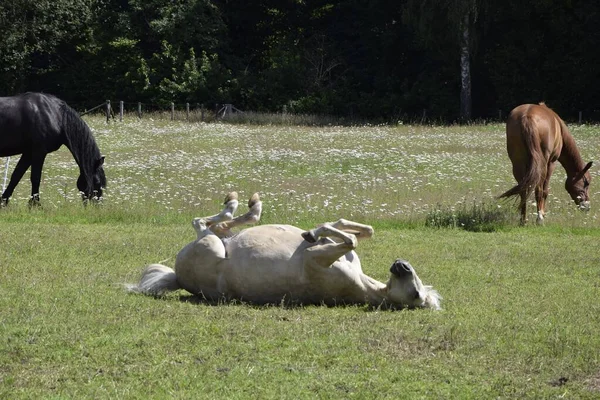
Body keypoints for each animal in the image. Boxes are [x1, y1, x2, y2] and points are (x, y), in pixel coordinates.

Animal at [126, 192, 442, 310]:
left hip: (211, 246)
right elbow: (360, 232)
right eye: (417, 286)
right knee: (222, 225)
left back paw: (239, 204)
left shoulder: (315, 259)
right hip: (219, 240)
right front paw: (320, 230)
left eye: (417, 294)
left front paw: (313, 232)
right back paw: (244, 205)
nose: (401, 265)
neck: (363, 285)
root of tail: (178, 277)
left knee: (203, 223)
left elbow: (346, 239)